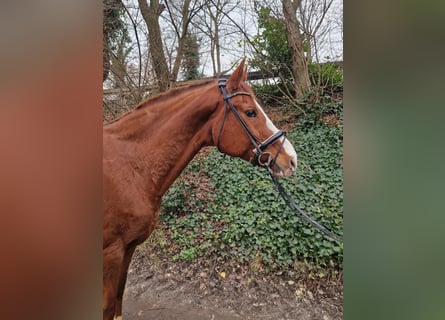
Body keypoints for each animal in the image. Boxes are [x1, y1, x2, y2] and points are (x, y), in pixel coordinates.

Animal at [103, 60, 296, 320]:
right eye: (250, 112)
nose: (292, 159)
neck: (130, 165)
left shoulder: (128, 248)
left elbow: (119, 298)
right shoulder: (111, 253)